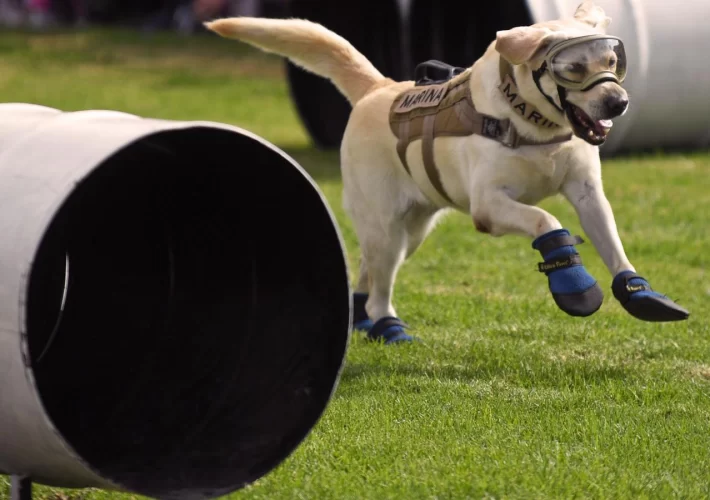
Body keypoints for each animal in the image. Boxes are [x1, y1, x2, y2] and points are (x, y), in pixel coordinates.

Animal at [206, 0, 688, 344]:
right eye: (571, 67)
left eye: (613, 60)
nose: (619, 102)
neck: (534, 124)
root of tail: (379, 88)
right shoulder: (488, 206)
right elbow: (546, 220)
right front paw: (573, 281)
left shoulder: (588, 193)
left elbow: (612, 244)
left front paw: (640, 292)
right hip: (387, 227)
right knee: (380, 285)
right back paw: (386, 326)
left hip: (411, 232)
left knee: (367, 270)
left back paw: (363, 320)